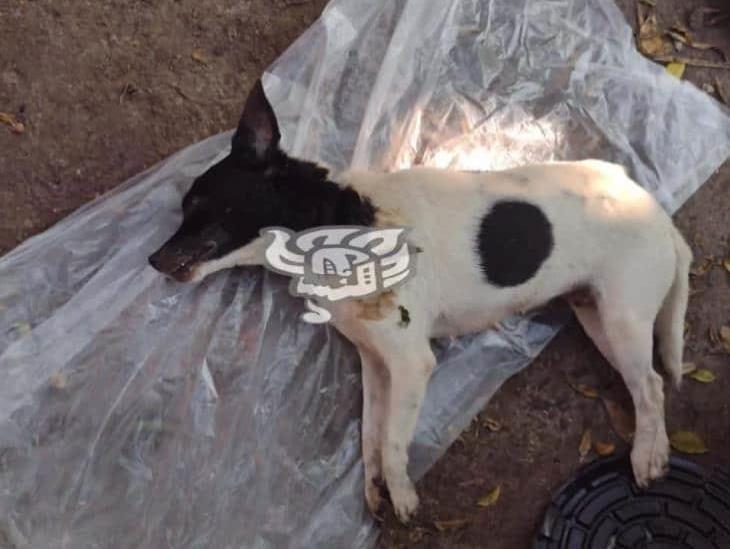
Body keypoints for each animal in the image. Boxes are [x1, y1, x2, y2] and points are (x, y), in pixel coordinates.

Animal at [146, 80, 688, 524]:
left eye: (198, 205)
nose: (151, 259)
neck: (339, 219)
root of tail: (662, 219)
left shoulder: (410, 361)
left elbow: (391, 439)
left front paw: (403, 495)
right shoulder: (374, 362)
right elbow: (370, 435)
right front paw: (374, 490)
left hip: (622, 317)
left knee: (652, 385)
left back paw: (647, 456)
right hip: (595, 313)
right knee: (649, 383)